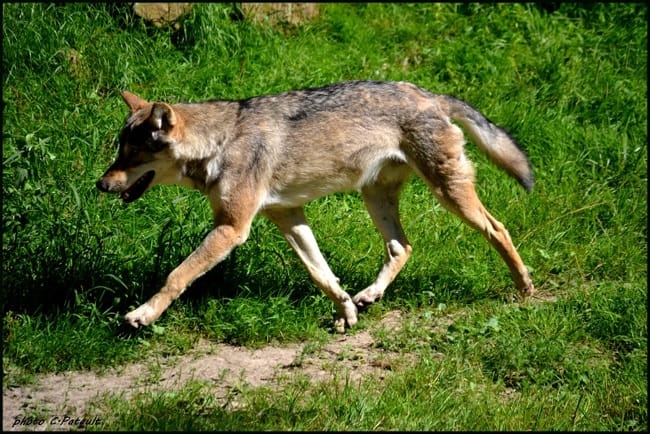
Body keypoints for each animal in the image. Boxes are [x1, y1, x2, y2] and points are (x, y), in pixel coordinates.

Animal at [96, 80, 535, 333]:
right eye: (119, 151)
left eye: (131, 154)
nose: (100, 184)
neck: (220, 141)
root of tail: (430, 95)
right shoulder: (288, 217)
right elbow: (322, 274)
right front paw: (346, 312)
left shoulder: (232, 229)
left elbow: (177, 275)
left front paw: (143, 314)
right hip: (375, 198)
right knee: (402, 247)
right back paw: (369, 295)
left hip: (450, 196)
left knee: (498, 229)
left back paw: (525, 287)